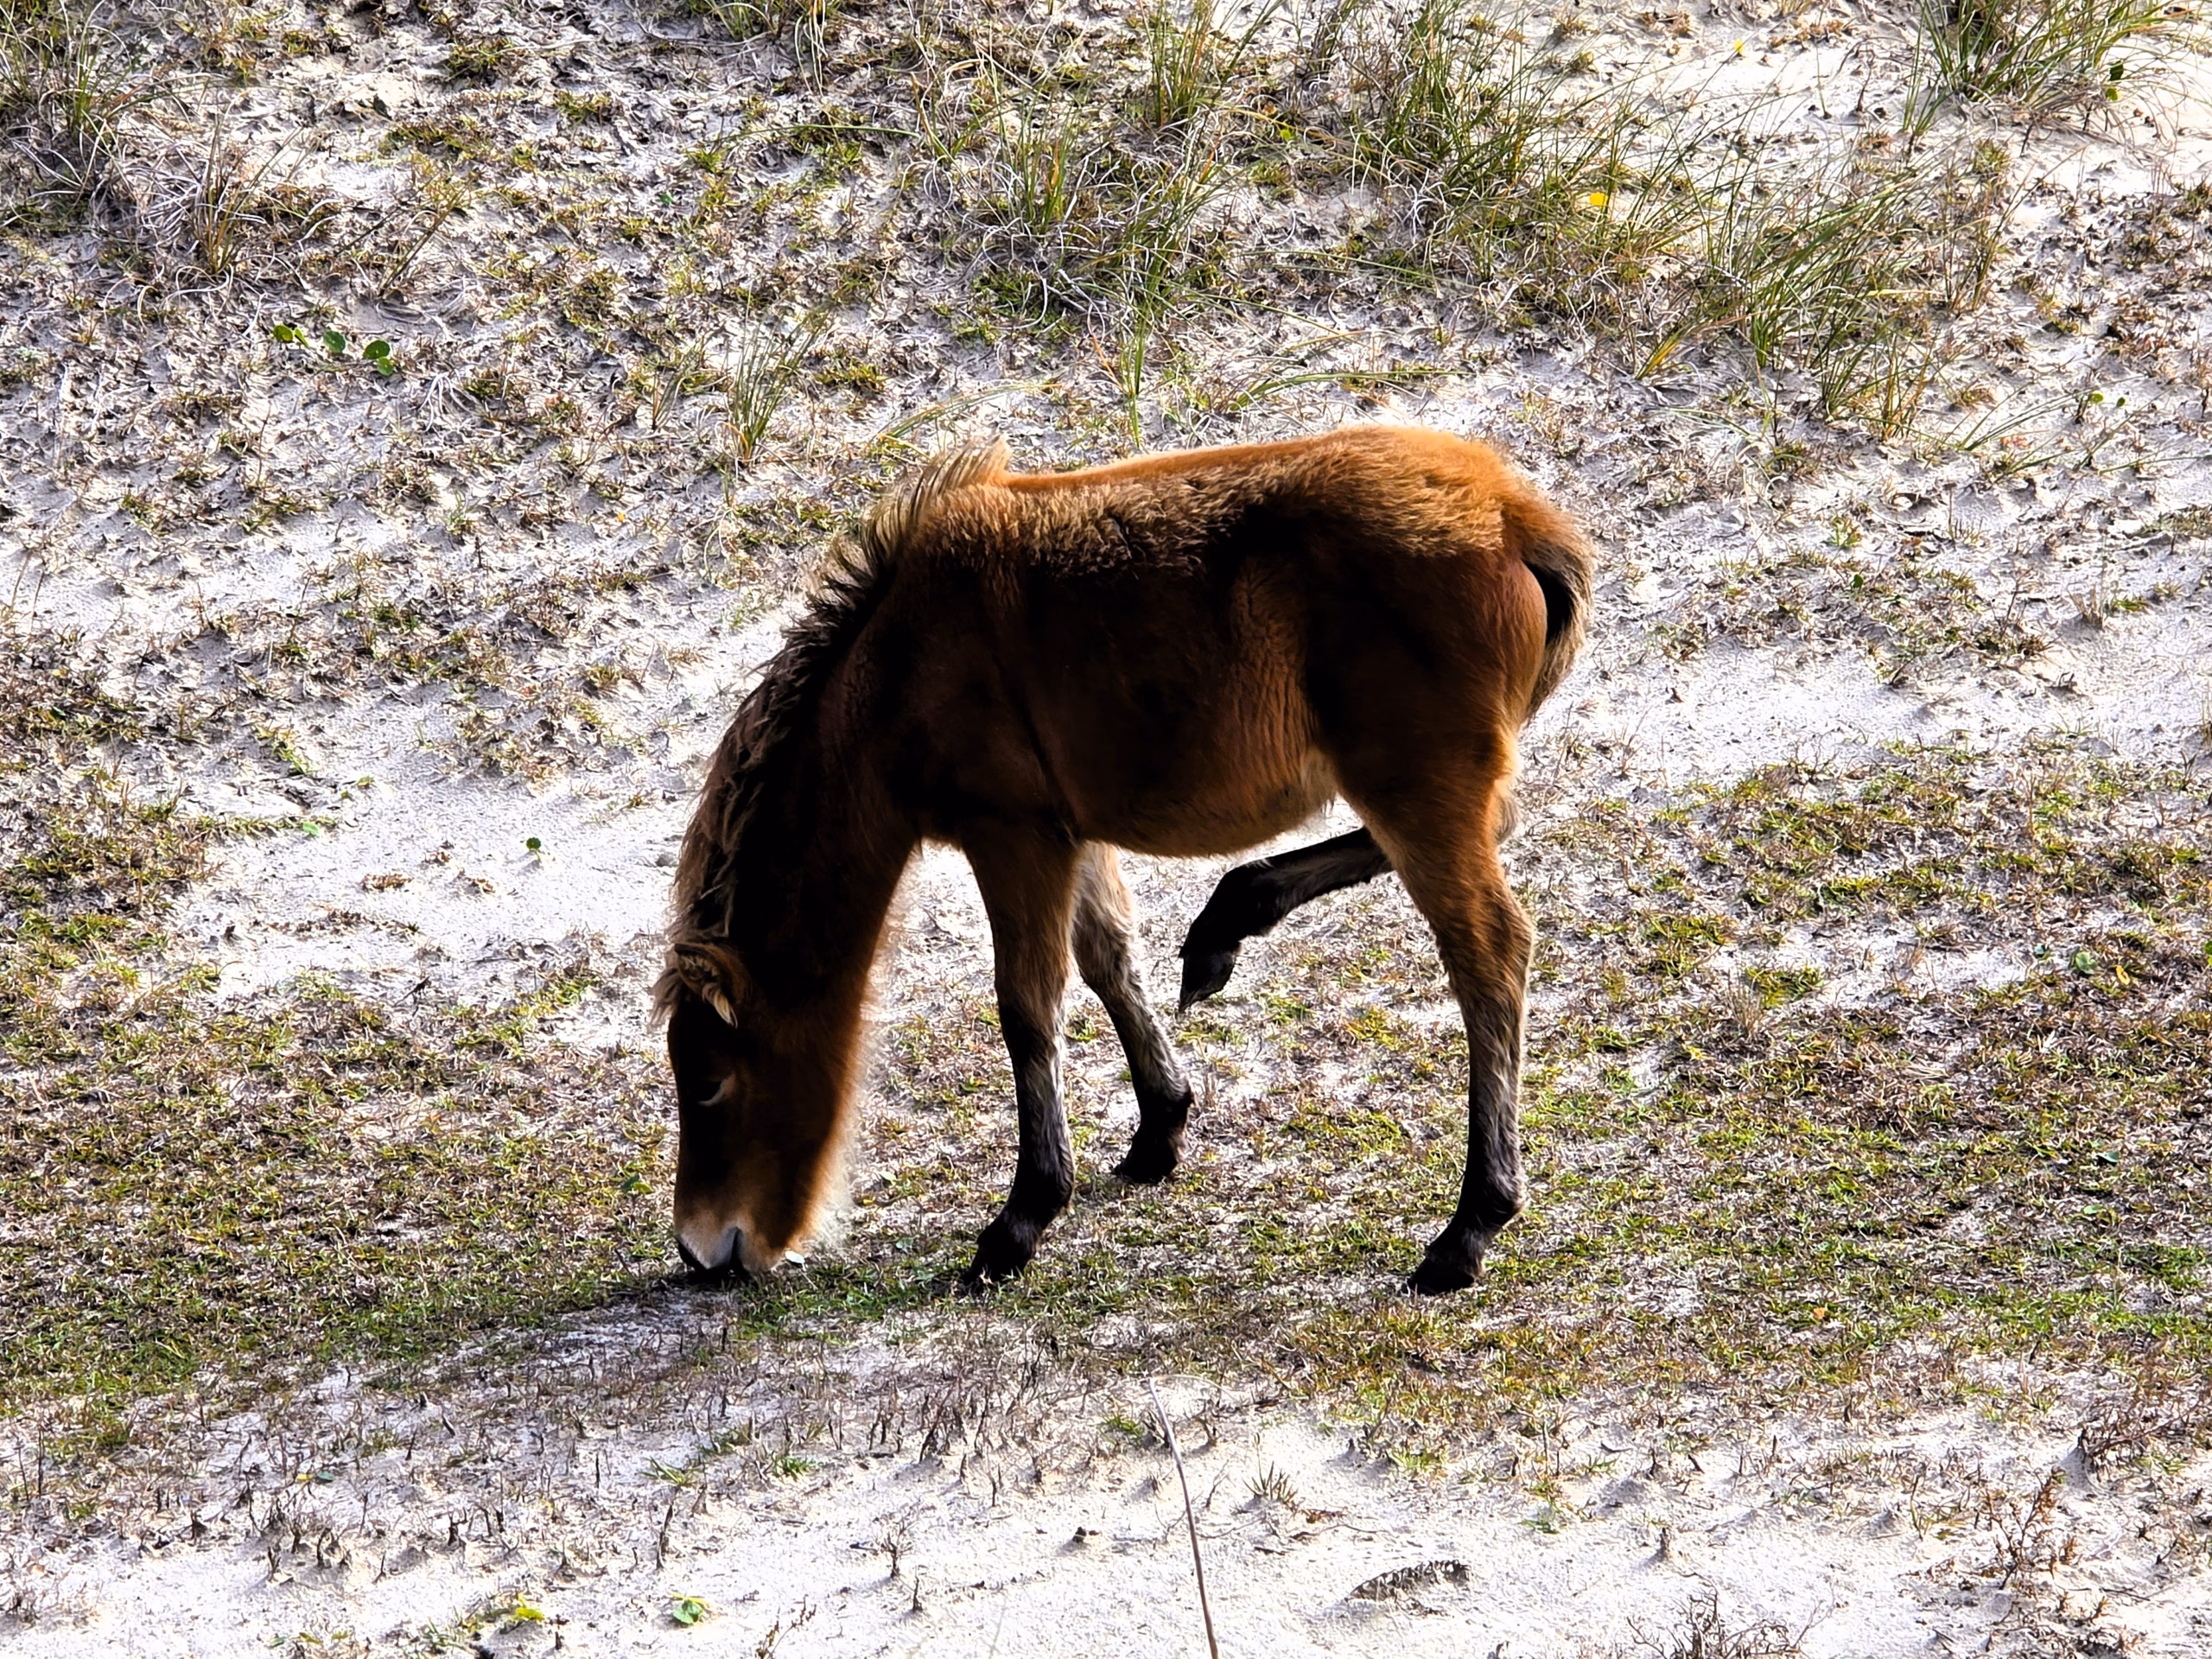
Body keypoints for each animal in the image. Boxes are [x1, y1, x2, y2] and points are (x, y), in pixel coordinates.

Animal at [656, 424, 1592, 1294]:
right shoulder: (1072, 834)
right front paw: (1159, 1127)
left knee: (1489, 954)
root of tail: (1518, 520)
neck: (905, 656)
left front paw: (1020, 1221)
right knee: (1492, 830)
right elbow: (1107, 956)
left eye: (708, 1082)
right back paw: (1227, 920)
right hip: (1426, 787)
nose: (701, 1249)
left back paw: (1469, 1227)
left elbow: (1027, 1007)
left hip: (1414, 786)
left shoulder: (1014, 834)